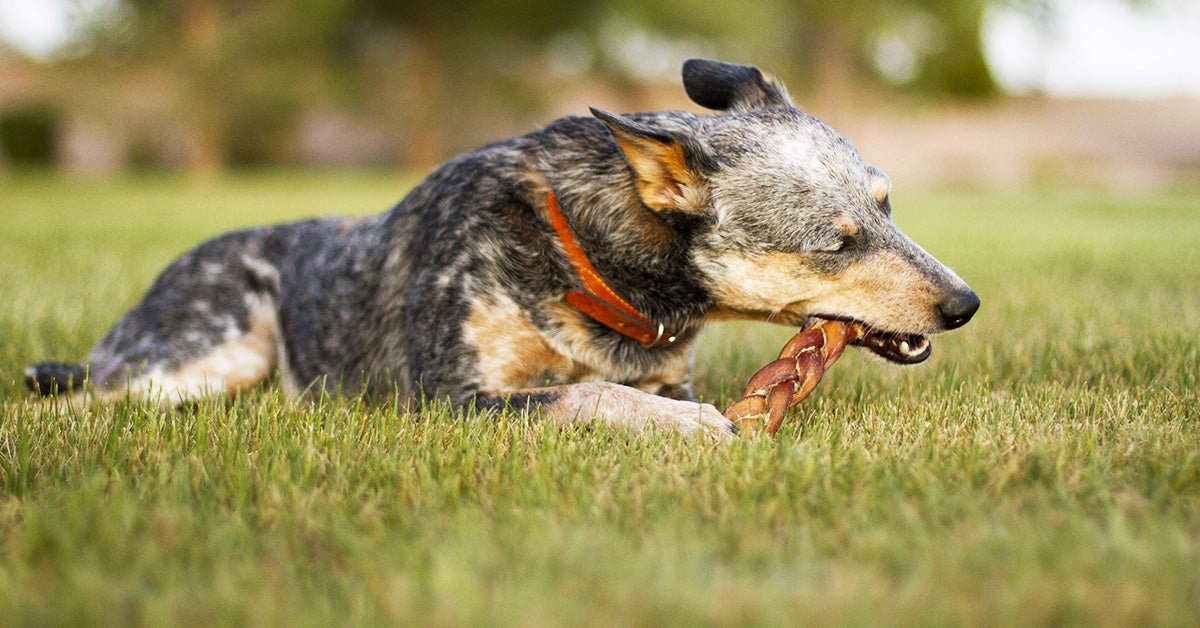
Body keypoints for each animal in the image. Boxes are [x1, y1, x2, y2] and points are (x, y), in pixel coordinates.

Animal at [23, 61, 979, 439]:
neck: (588, 261)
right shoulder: (451, 398)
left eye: (888, 205)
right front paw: (685, 427)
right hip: (207, 352)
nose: (966, 303)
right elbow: (588, 395)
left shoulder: (665, 367)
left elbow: (613, 388)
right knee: (74, 396)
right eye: (838, 242)